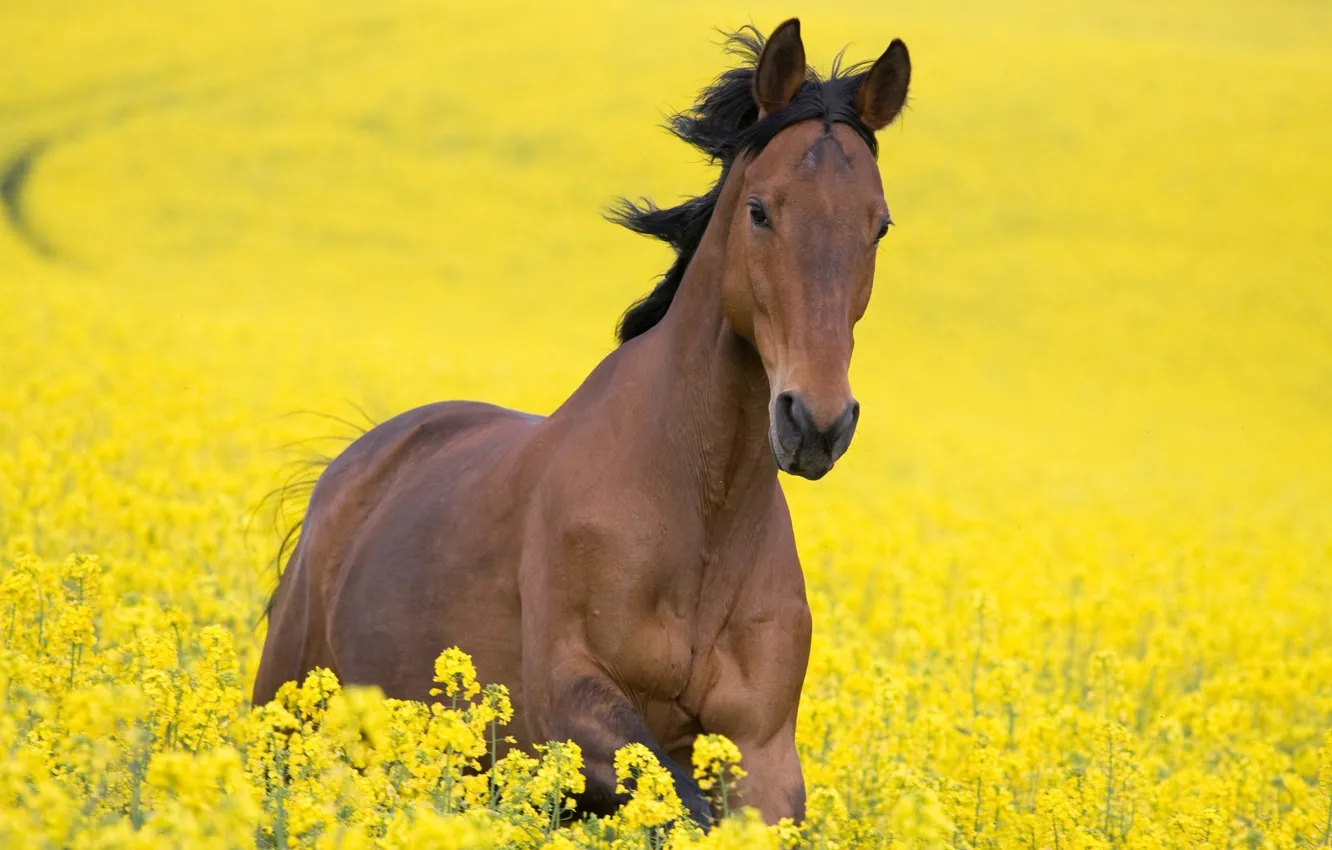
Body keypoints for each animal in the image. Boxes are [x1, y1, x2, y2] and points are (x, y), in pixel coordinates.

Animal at [253, 18, 910, 827]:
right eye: (761, 210)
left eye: (878, 227)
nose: (815, 424)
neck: (701, 515)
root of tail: (350, 468)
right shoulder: (570, 710)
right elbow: (680, 805)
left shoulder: (761, 748)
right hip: (286, 725)